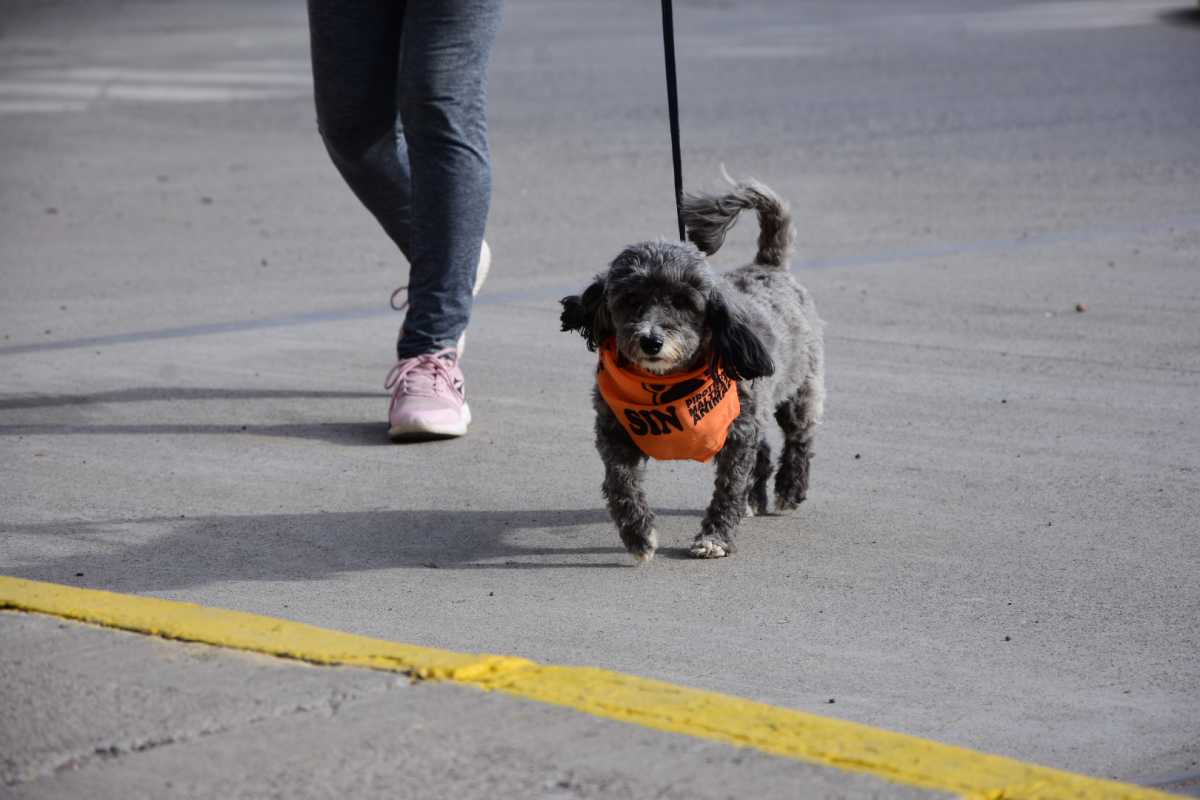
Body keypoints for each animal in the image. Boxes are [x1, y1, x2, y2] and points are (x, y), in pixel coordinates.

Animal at [560, 177, 824, 560]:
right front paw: (638, 534)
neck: (668, 384)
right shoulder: (615, 433)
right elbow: (621, 482)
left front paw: (715, 536)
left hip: (799, 388)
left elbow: (729, 487)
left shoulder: (735, 435)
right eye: (631, 299)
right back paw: (755, 497)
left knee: (799, 437)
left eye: (683, 301)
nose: (651, 340)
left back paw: (790, 488)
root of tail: (768, 266)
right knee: (763, 447)